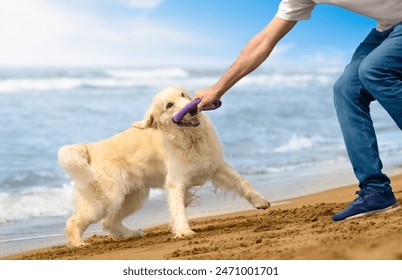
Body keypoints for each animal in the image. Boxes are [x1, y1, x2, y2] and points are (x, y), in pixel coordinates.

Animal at [59, 86, 270, 246]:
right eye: (169, 105)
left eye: (183, 95)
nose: (193, 109)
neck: (190, 138)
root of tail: (90, 147)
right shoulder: (176, 182)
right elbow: (179, 208)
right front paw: (183, 231)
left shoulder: (216, 166)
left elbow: (243, 182)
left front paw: (260, 201)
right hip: (106, 198)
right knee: (74, 221)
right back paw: (79, 243)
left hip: (133, 197)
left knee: (108, 221)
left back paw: (130, 234)